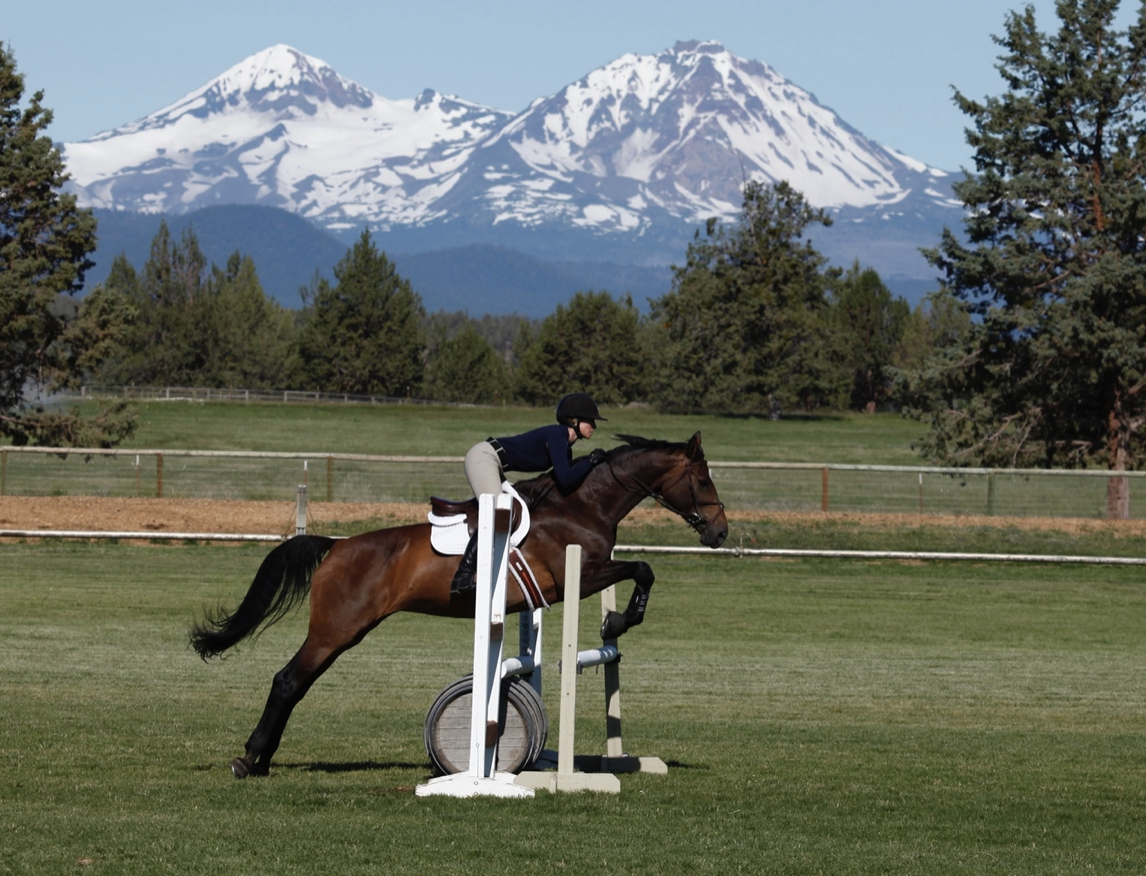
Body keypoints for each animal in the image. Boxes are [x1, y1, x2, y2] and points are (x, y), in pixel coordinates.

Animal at [187, 428, 724, 775]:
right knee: (287, 681)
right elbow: (643, 569)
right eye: (702, 480)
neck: (582, 504)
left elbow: (641, 570)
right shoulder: (580, 575)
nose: (719, 533)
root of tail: (336, 546)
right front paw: (621, 621)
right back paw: (249, 759)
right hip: (336, 628)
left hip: (344, 630)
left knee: (297, 684)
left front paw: (617, 622)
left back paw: (261, 759)